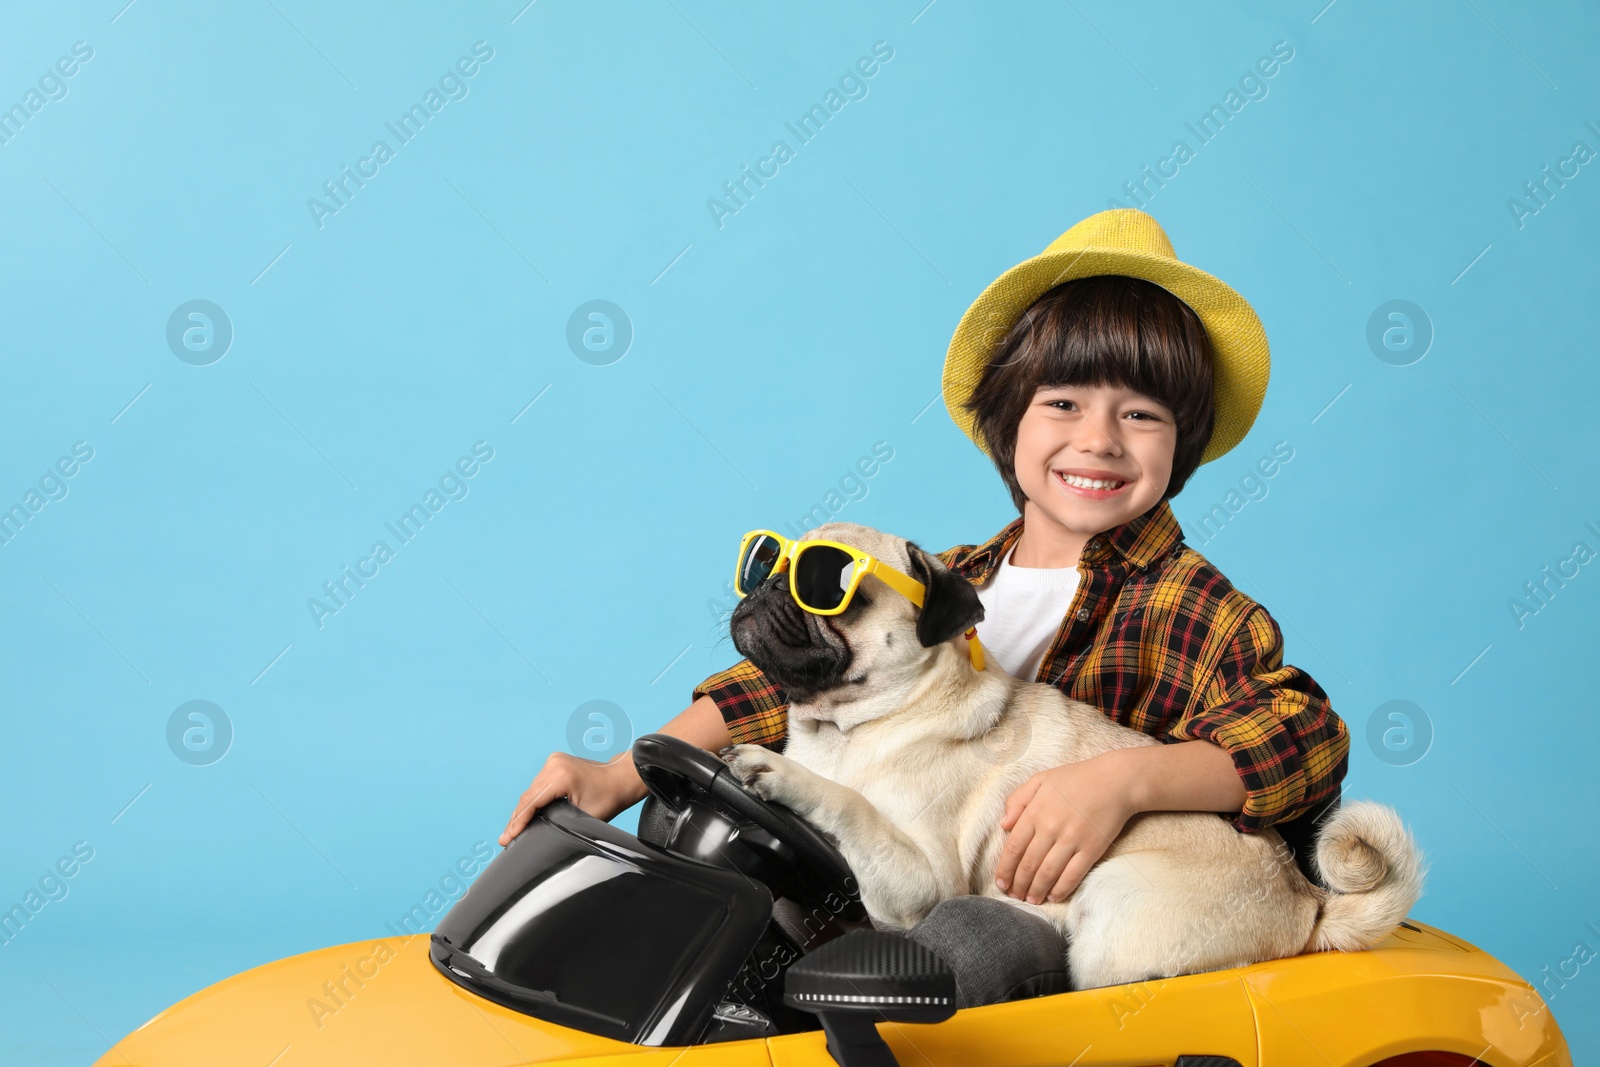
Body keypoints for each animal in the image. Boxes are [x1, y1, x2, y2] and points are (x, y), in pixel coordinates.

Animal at [713, 521, 1427, 991]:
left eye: (826, 586)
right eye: (766, 563)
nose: (765, 588)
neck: (845, 727)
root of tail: (1308, 903)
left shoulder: (920, 881)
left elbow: (851, 804)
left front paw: (780, 773)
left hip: (1110, 911)